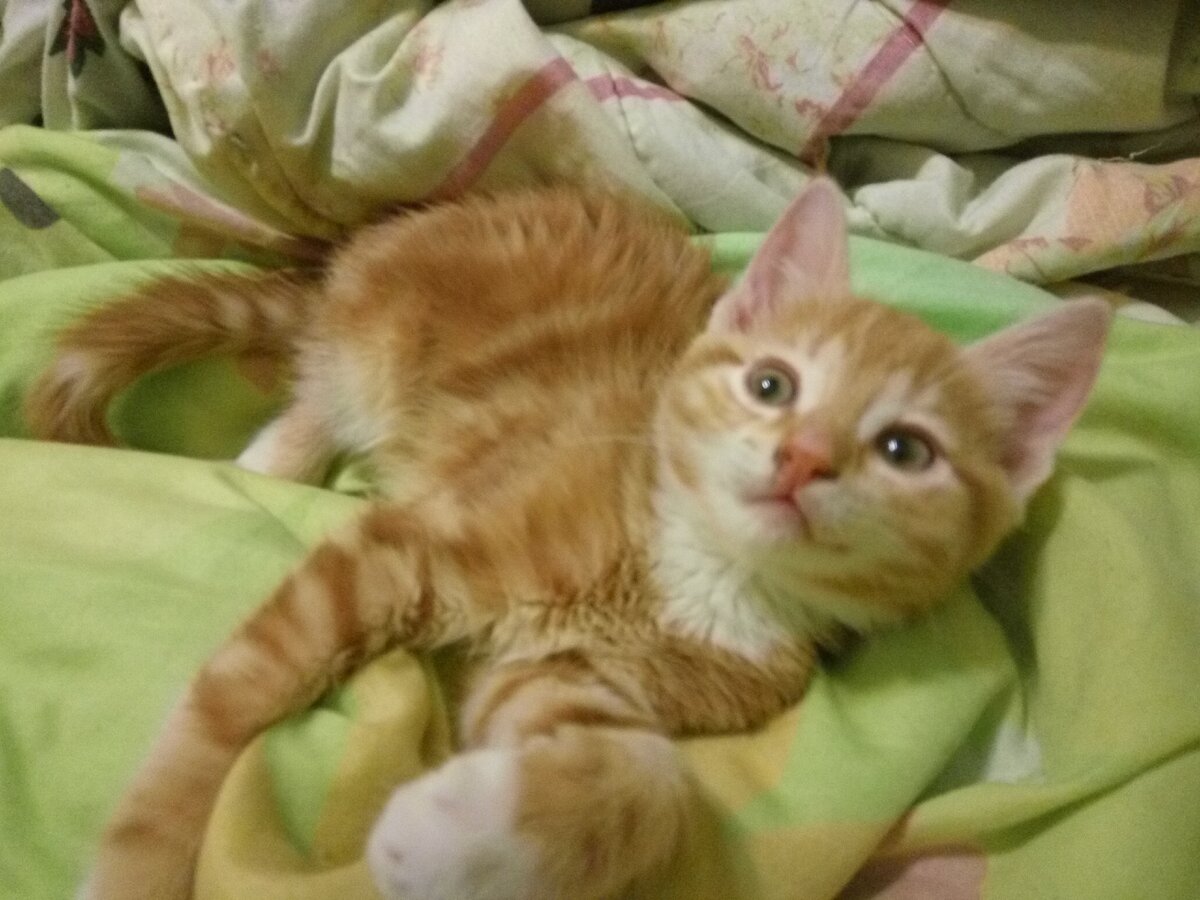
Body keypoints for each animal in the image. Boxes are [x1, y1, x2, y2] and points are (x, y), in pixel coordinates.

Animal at [25, 179, 1111, 900]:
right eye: (773, 384)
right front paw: (138, 867)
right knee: (317, 388)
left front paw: (457, 834)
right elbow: (227, 704)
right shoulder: (402, 549)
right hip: (377, 349)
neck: (689, 569)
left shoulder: (573, 674)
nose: (802, 459)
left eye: (904, 450)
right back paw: (274, 459)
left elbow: (651, 782)